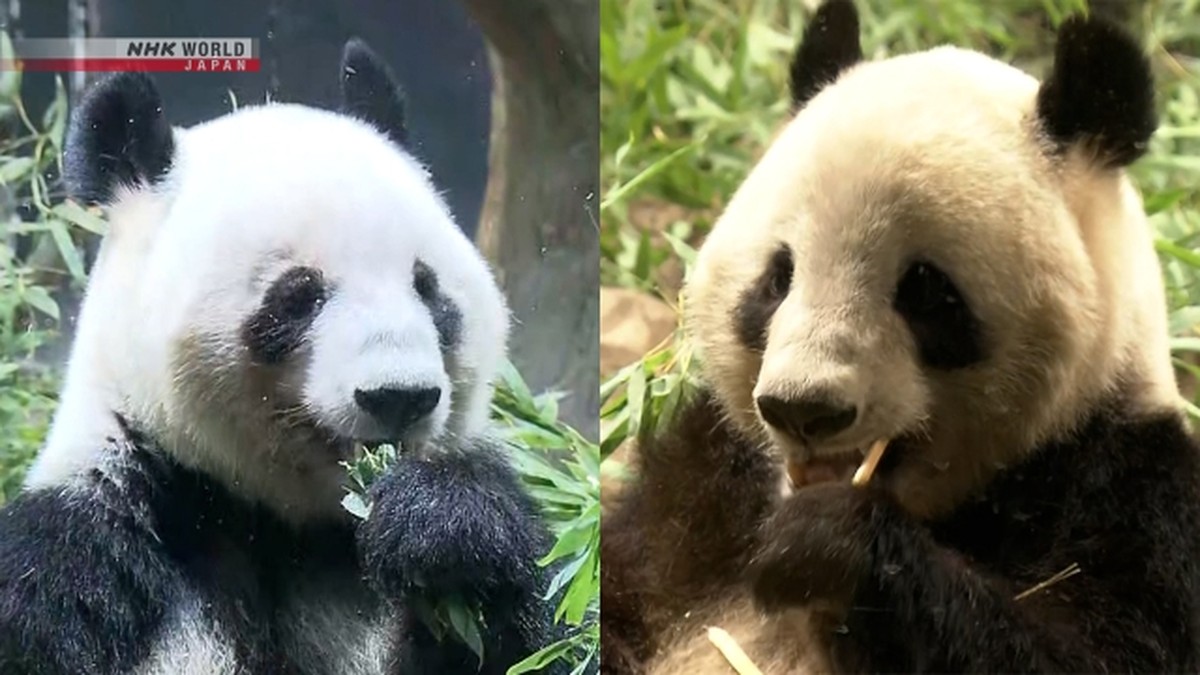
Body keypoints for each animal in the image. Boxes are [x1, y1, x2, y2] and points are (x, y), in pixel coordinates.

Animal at [0, 39, 566, 675]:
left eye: (427, 287)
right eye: (298, 296)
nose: (399, 397)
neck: (284, 520)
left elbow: (544, 617)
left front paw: (437, 525)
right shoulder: (88, 551)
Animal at [601, 1, 1200, 673]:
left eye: (927, 291)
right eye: (779, 277)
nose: (803, 410)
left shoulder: (1128, 486)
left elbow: (1097, 651)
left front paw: (826, 547)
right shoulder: (701, 485)